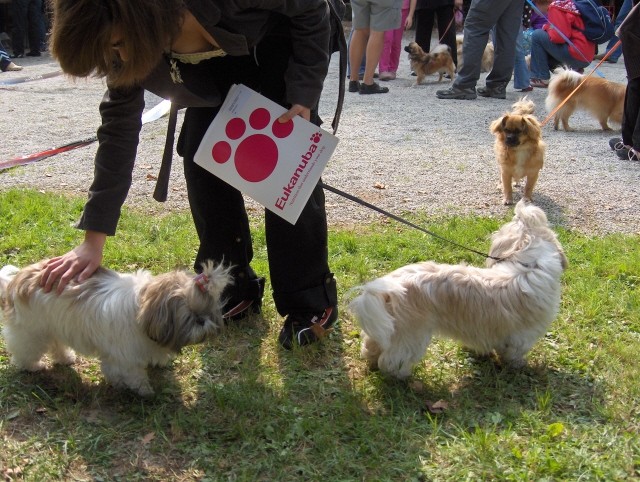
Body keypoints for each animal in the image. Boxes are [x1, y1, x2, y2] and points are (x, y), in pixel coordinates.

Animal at [0, 260, 230, 396]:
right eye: (189, 315)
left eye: (208, 310)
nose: (203, 321)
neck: (142, 309)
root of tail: (14, 283)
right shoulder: (124, 356)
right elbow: (129, 374)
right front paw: (143, 389)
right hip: (32, 331)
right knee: (26, 350)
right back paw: (32, 366)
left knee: (56, 345)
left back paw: (65, 358)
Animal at [348, 201, 568, 380]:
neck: (529, 265)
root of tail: (386, 288)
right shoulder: (522, 336)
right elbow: (513, 353)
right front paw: (518, 366)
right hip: (411, 336)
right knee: (392, 360)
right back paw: (402, 377)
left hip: (388, 328)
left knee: (372, 345)